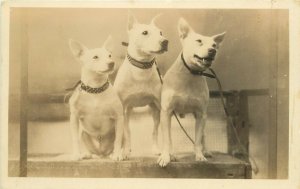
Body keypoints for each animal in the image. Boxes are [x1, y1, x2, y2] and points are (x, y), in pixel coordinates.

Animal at [113, 13, 169, 157]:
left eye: (161, 32)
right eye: (145, 32)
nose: (165, 41)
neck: (141, 67)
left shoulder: (159, 107)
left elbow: (159, 132)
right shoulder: (123, 109)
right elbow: (126, 133)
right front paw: (124, 152)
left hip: (154, 111)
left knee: (154, 131)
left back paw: (155, 149)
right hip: (128, 111)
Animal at [157, 17, 225, 166]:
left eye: (214, 45)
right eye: (199, 41)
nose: (213, 50)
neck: (190, 74)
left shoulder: (200, 114)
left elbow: (198, 139)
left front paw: (199, 155)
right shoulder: (166, 112)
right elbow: (166, 140)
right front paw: (165, 157)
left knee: (203, 135)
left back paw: (206, 151)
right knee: (168, 137)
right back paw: (172, 154)